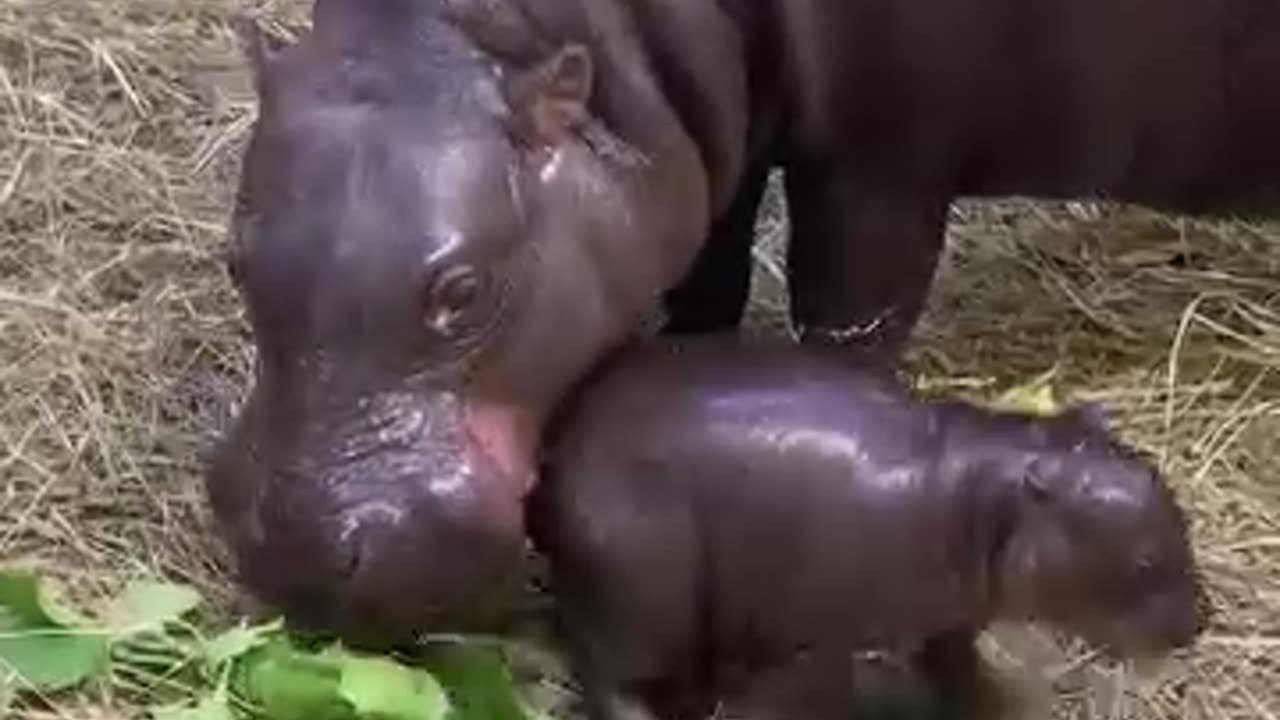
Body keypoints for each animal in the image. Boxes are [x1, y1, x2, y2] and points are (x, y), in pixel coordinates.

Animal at [208, 0, 1262, 644]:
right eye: (235, 256)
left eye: (461, 289)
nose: (295, 554)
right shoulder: (716, 140)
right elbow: (710, 266)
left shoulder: (875, 167)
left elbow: (850, 321)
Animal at [527, 336, 1208, 720]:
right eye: (1144, 562)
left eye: (1183, 521)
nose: (1200, 622)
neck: (979, 487)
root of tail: (552, 454)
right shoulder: (817, 637)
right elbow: (822, 695)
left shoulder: (949, 616)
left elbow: (956, 665)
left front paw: (988, 703)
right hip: (642, 601)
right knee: (612, 680)